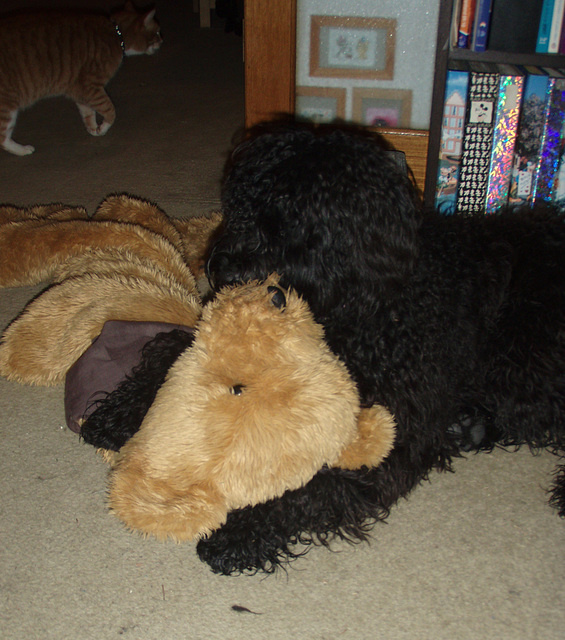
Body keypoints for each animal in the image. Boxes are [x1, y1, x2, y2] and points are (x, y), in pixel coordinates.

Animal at [0, 2, 162, 156]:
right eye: (157, 32)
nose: (162, 40)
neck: (117, 35)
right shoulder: (90, 86)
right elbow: (109, 109)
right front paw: (103, 128)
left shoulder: (80, 91)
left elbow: (88, 112)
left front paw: (94, 128)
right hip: (8, 107)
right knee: (3, 138)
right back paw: (23, 150)